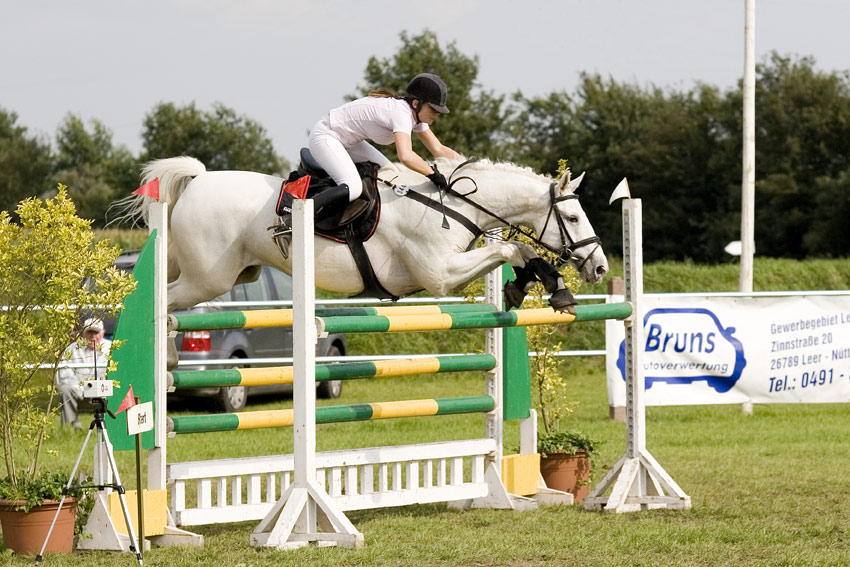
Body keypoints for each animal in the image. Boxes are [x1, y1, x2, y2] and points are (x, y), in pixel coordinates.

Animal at [126, 156, 608, 310]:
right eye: (575, 218)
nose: (601, 267)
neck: (452, 204)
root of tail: (198, 181)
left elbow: (521, 252)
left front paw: (541, 288)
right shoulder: (439, 275)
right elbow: (510, 249)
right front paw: (547, 285)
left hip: (228, 272)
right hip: (208, 279)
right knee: (162, 302)